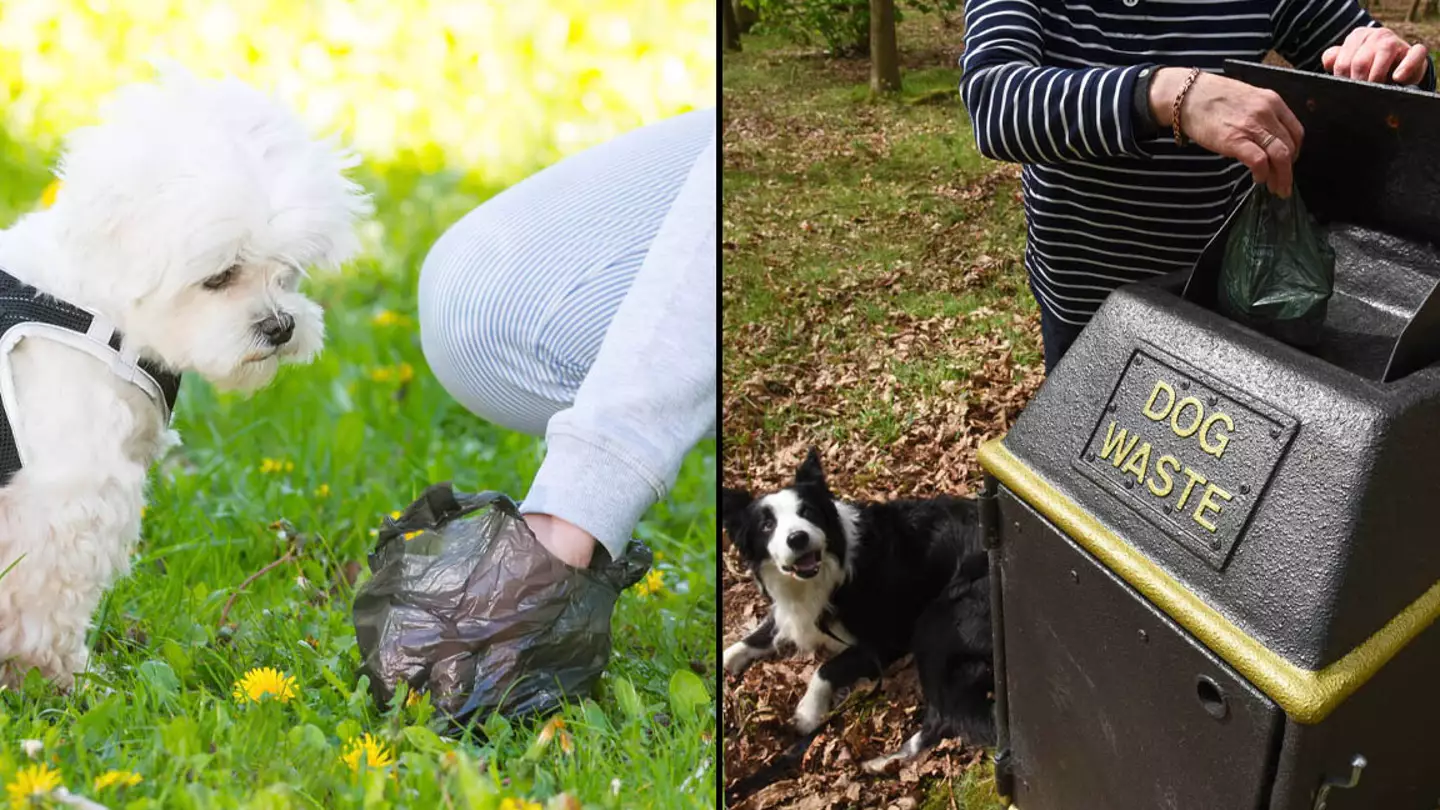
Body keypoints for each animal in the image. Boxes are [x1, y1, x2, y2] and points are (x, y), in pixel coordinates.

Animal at [0, 70, 371, 686]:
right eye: (220, 276)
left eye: (287, 271)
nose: (281, 325)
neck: (95, 308)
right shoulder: (66, 498)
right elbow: (43, 603)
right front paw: (55, 676)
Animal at [725, 446, 996, 766]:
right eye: (767, 525)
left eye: (808, 512)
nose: (798, 538)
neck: (830, 572)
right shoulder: (794, 614)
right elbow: (761, 632)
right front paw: (727, 657)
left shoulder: (885, 641)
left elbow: (826, 669)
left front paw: (807, 712)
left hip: (935, 622)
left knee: (951, 714)